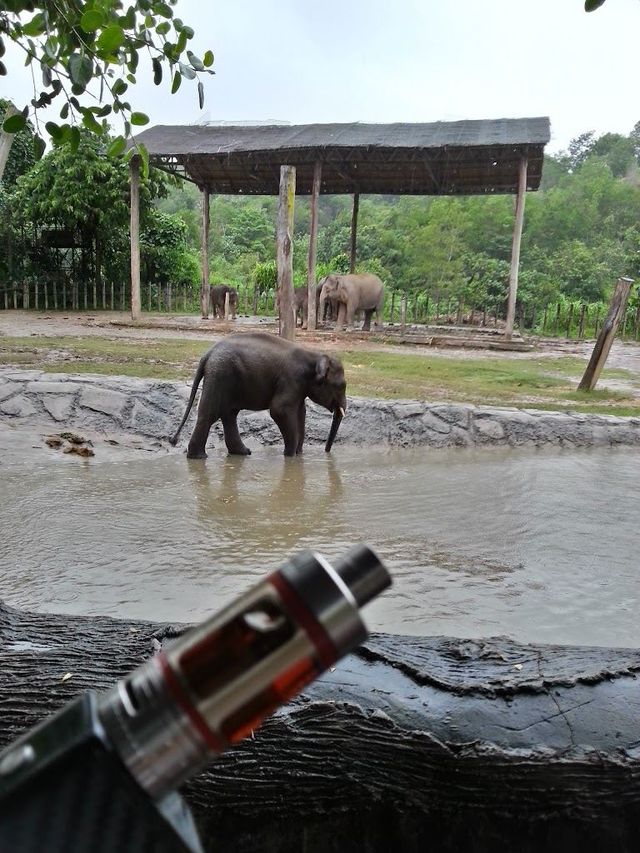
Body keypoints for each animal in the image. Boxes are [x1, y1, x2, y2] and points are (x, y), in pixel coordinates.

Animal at [169, 332, 347, 459]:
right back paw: (199, 457)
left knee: (229, 414)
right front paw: (290, 456)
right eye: (342, 386)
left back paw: (243, 453)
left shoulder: (299, 387)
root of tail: (207, 355)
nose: (327, 451)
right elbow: (279, 410)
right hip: (219, 374)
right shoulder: (291, 379)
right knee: (211, 414)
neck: (314, 355)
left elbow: (300, 413)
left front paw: (298, 454)